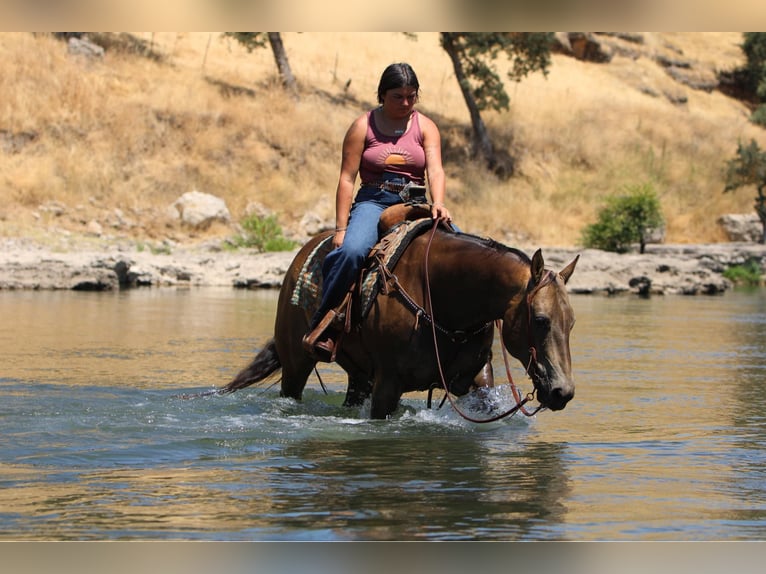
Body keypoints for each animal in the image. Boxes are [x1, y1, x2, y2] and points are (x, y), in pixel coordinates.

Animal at [219, 206, 580, 418]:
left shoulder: (476, 378)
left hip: (358, 374)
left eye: (572, 323)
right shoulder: (387, 385)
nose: (562, 392)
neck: (443, 299)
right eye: (540, 320)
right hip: (296, 363)